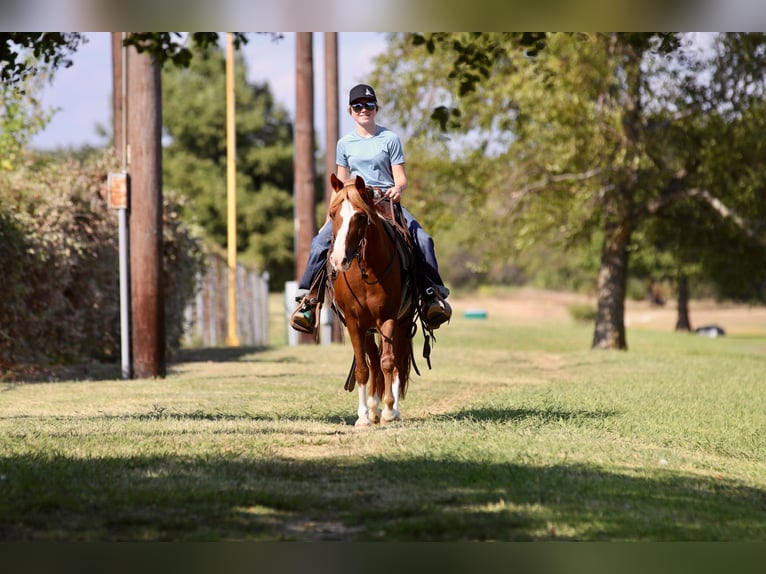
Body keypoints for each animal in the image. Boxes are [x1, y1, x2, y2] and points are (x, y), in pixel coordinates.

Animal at [326, 173, 419, 426]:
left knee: (395, 363)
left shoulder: (388, 318)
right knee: (373, 363)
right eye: (332, 214)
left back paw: (390, 410)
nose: (339, 260)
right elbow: (363, 369)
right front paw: (364, 416)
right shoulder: (354, 322)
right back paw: (373, 408)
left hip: (402, 323)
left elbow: (389, 362)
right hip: (368, 329)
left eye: (360, 216)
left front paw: (388, 410)